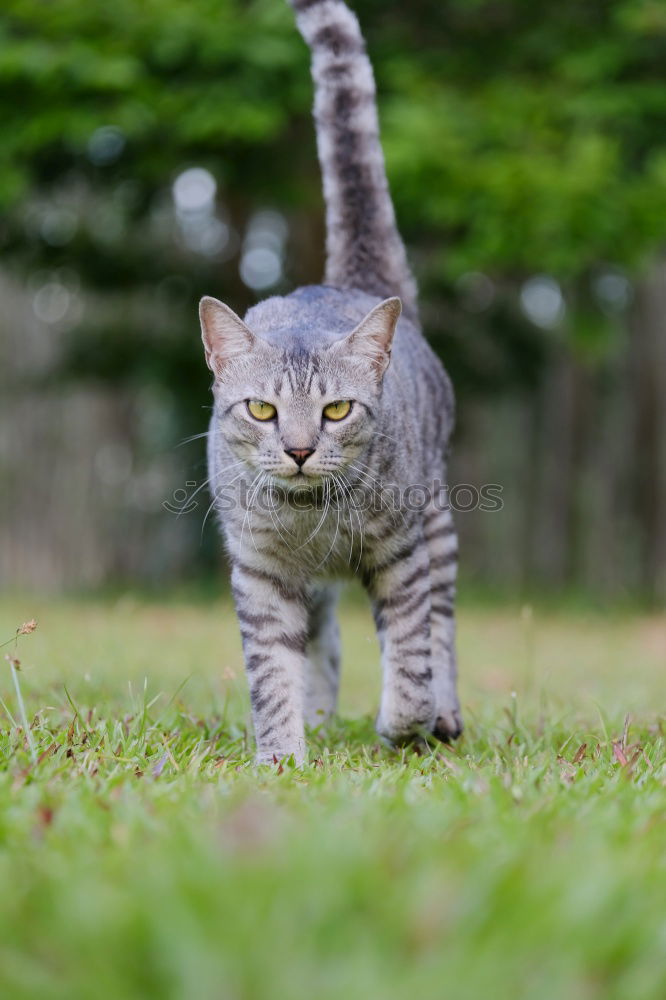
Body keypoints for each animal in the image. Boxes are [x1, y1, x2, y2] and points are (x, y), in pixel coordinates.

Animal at [195, 0, 460, 760]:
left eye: (338, 410)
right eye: (260, 410)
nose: (300, 449)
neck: (312, 519)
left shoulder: (402, 552)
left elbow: (411, 654)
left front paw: (403, 725)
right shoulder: (260, 572)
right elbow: (272, 671)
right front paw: (283, 753)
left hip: (439, 525)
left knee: (442, 632)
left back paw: (444, 718)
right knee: (327, 642)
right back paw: (318, 719)